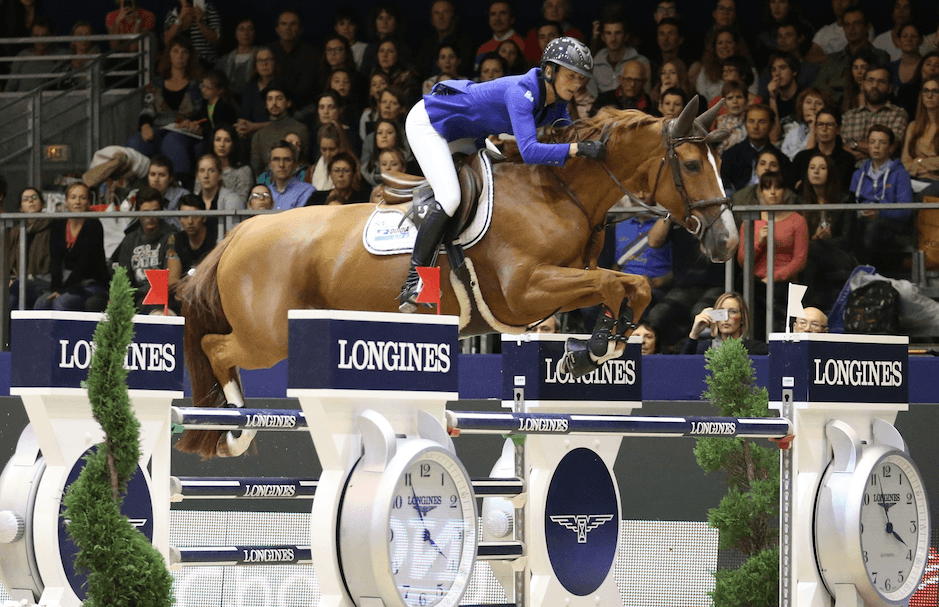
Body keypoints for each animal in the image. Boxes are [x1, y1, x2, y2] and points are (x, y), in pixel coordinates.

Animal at [177, 97, 737, 459]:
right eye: (691, 164)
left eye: (720, 160)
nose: (727, 241)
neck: (556, 191)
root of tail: (238, 235)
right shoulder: (524, 290)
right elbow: (613, 284)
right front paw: (594, 348)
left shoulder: (562, 284)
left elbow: (628, 285)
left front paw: (599, 345)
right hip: (267, 337)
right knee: (215, 348)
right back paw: (235, 431)